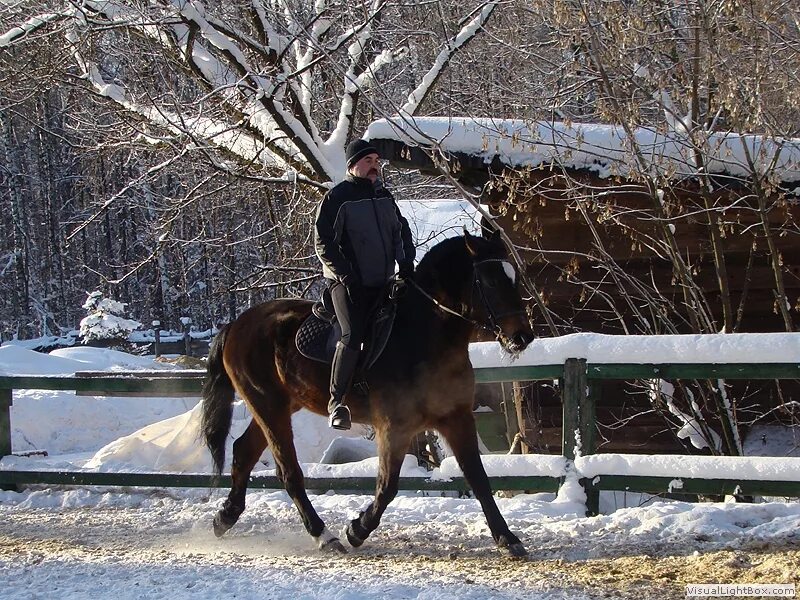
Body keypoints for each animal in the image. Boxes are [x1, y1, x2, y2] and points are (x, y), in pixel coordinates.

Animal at [200, 231, 536, 556]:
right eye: (490, 280)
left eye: (514, 278)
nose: (523, 337)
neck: (424, 336)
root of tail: (237, 324)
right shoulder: (394, 426)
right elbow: (387, 485)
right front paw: (357, 530)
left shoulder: (457, 419)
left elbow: (478, 478)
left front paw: (507, 538)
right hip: (268, 405)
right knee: (289, 473)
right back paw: (325, 537)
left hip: (279, 405)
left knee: (243, 451)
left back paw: (225, 517)